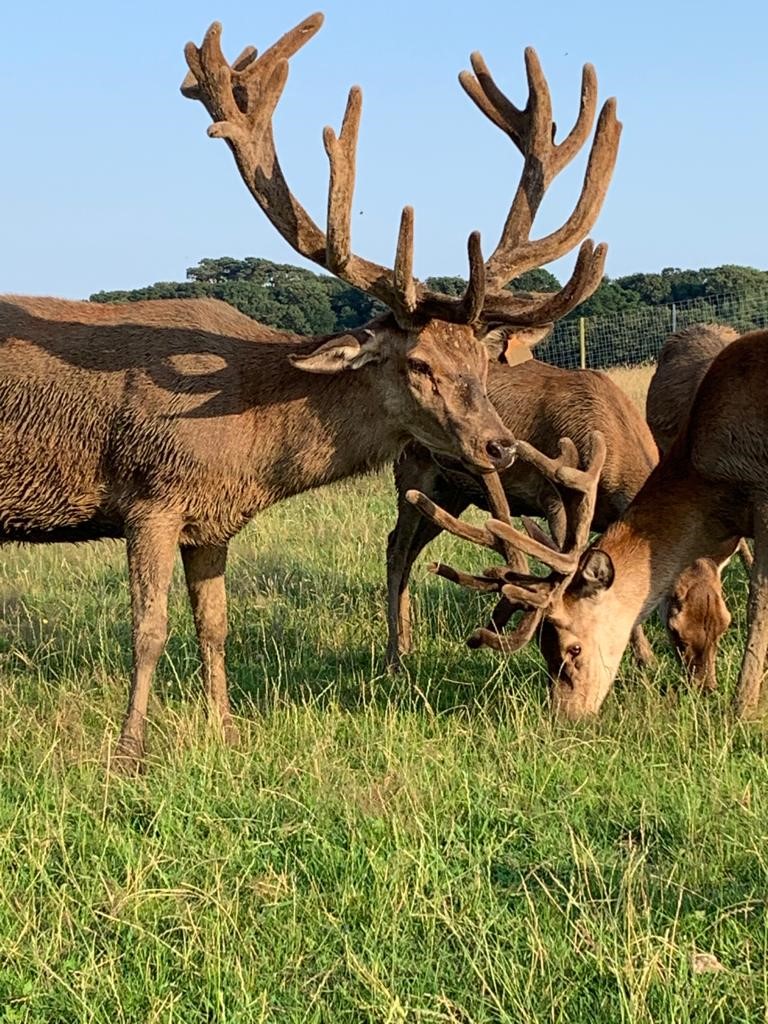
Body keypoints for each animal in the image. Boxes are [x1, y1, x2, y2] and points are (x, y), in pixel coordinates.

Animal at [0, 14, 622, 768]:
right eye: (418, 364)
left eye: (481, 358)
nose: (499, 444)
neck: (248, 451)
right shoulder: (150, 494)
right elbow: (148, 630)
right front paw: (128, 754)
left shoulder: (211, 522)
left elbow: (215, 626)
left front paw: (225, 733)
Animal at [405, 329, 768, 721]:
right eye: (675, 630)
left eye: (572, 648)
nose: (565, 715)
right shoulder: (554, 500)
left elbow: (757, 604)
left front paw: (742, 706)